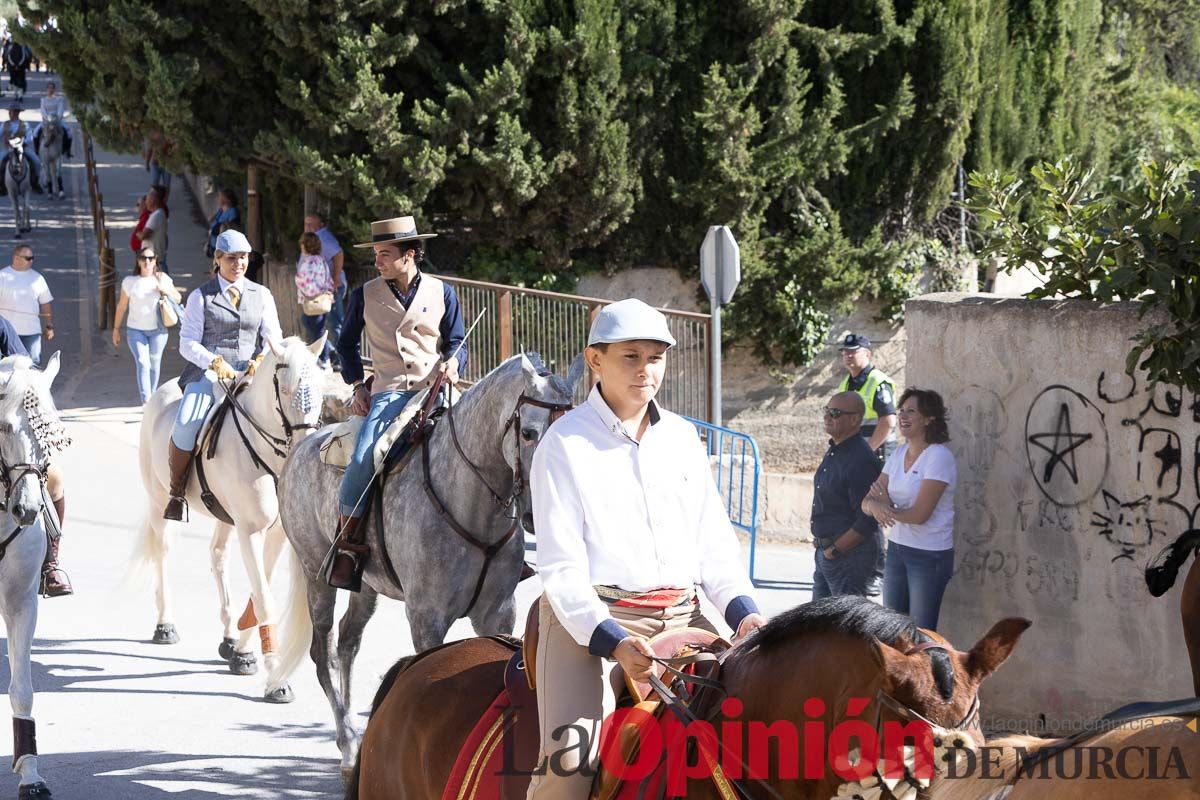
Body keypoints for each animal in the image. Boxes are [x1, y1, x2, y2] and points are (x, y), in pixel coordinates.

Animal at [133, 335, 324, 700]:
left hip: (223, 516)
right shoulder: (251, 531)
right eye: (286, 389)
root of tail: (162, 392)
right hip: (158, 499)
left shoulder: (275, 533)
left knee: (218, 555)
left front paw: (244, 652)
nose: (305, 445)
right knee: (162, 552)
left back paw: (229, 636)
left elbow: (258, 589)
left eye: (322, 391)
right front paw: (276, 677)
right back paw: (165, 625)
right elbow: (263, 598)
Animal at [278, 352, 583, 777]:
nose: (544, 512)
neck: (468, 501)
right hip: (316, 577)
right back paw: (349, 746)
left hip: (364, 586)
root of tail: (304, 444)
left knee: (348, 642)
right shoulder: (427, 618)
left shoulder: (497, 613)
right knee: (324, 653)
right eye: (529, 433)